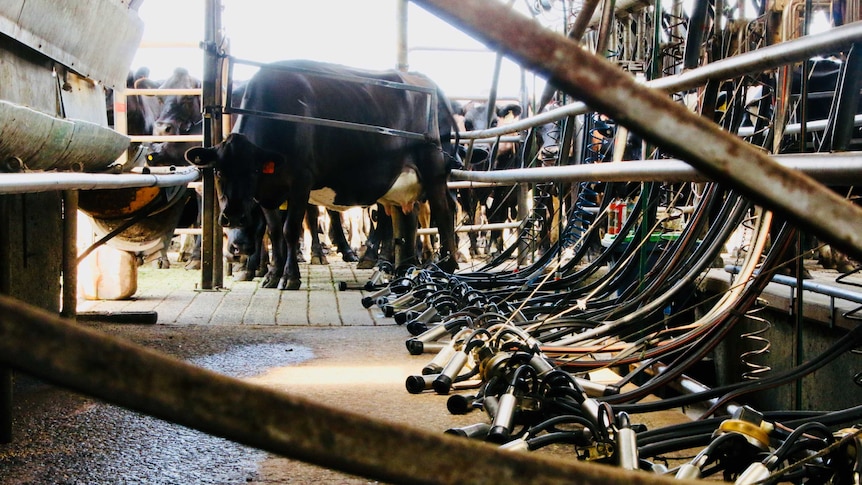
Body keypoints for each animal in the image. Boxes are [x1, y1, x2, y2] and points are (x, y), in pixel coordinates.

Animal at [186, 59, 462, 290]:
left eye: (253, 171)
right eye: (218, 171)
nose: (233, 218)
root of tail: (424, 80)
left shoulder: (301, 181)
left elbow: (290, 229)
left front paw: (289, 277)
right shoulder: (268, 193)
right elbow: (274, 231)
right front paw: (273, 275)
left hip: (434, 170)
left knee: (444, 211)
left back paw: (446, 265)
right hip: (400, 184)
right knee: (406, 217)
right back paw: (403, 268)